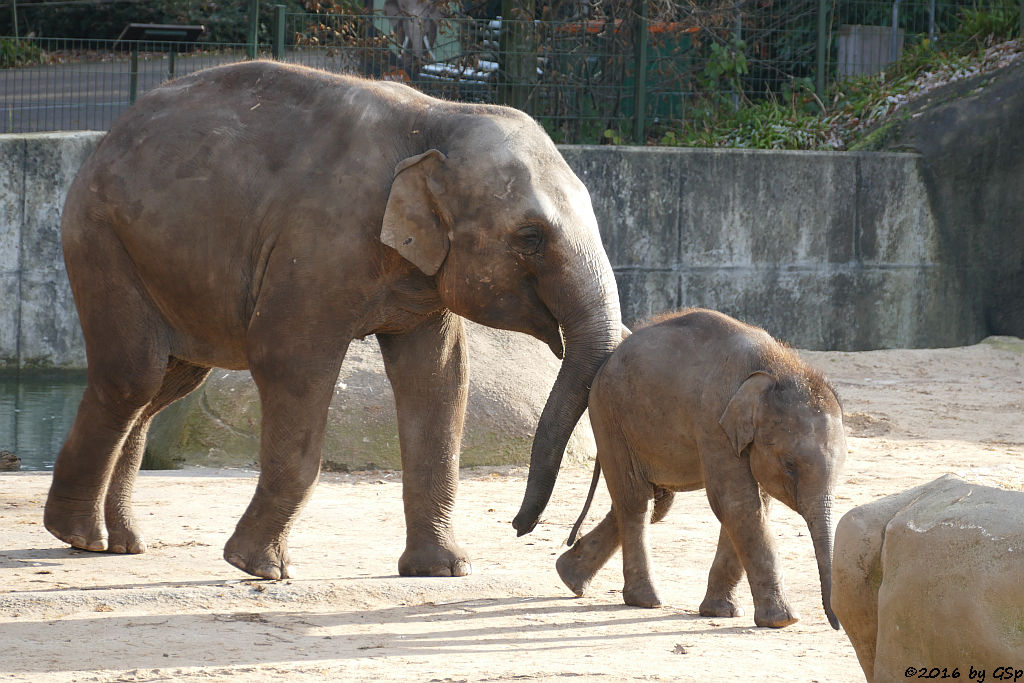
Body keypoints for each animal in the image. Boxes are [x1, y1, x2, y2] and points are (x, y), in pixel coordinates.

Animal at [44, 60, 618, 581]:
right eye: (531, 237)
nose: (524, 528)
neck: (437, 118)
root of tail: (108, 136)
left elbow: (438, 380)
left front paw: (444, 570)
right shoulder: (318, 241)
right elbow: (290, 362)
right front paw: (259, 569)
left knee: (168, 385)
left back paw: (121, 543)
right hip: (101, 238)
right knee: (134, 376)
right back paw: (79, 536)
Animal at [561, 309, 847, 630]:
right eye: (789, 465)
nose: (836, 624)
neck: (776, 366)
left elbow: (753, 506)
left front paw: (722, 612)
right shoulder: (714, 421)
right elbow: (738, 504)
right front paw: (783, 621)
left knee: (651, 500)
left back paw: (570, 577)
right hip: (609, 415)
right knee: (636, 501)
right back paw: (646, 600)